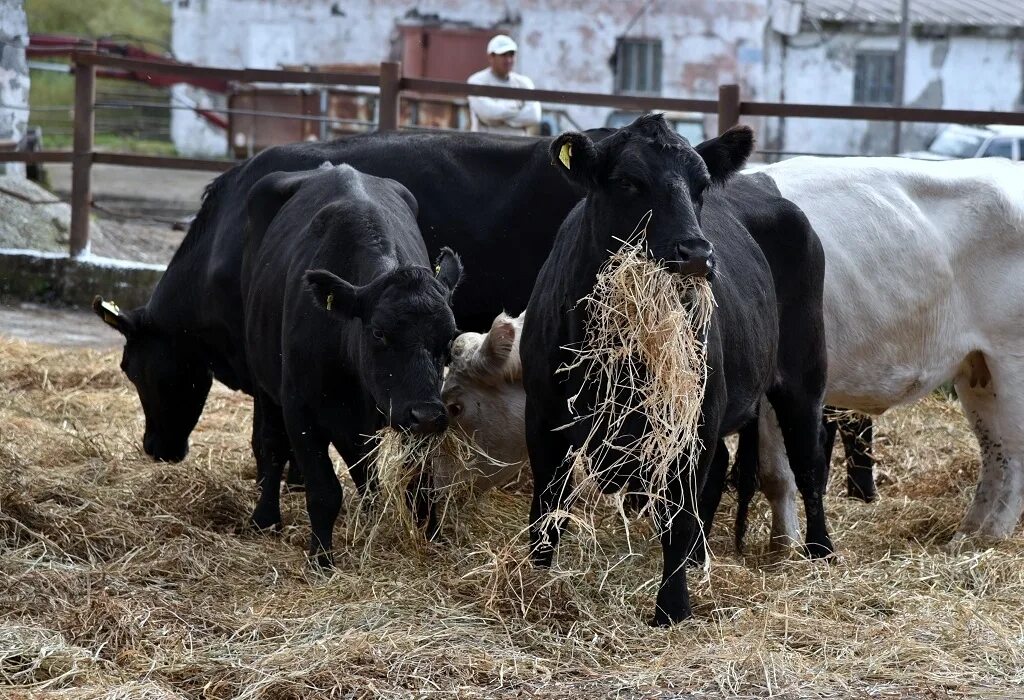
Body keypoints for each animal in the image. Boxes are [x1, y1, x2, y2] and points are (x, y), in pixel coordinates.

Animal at [237, 163, 462, 564]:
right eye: (378, 332)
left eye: (450, 337)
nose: (426, 415)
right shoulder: (301, 410)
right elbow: (324, 491)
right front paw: (321, 559)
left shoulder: (414, 413)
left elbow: (421, 483)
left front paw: (432, 537)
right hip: (263, 380)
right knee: (272, 444)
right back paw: (265, 518)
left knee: (365, 471)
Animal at [520, 114, 831, 622]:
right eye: (628, 182)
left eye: (700, 185)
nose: (697, 254)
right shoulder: (543, 414)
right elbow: (546, 508)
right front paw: (535, 584)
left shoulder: (694, 419)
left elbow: (680, 515)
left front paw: (672, 607)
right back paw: (703, 557)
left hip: (804, 377)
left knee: (809, 463)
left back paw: (821, 550)